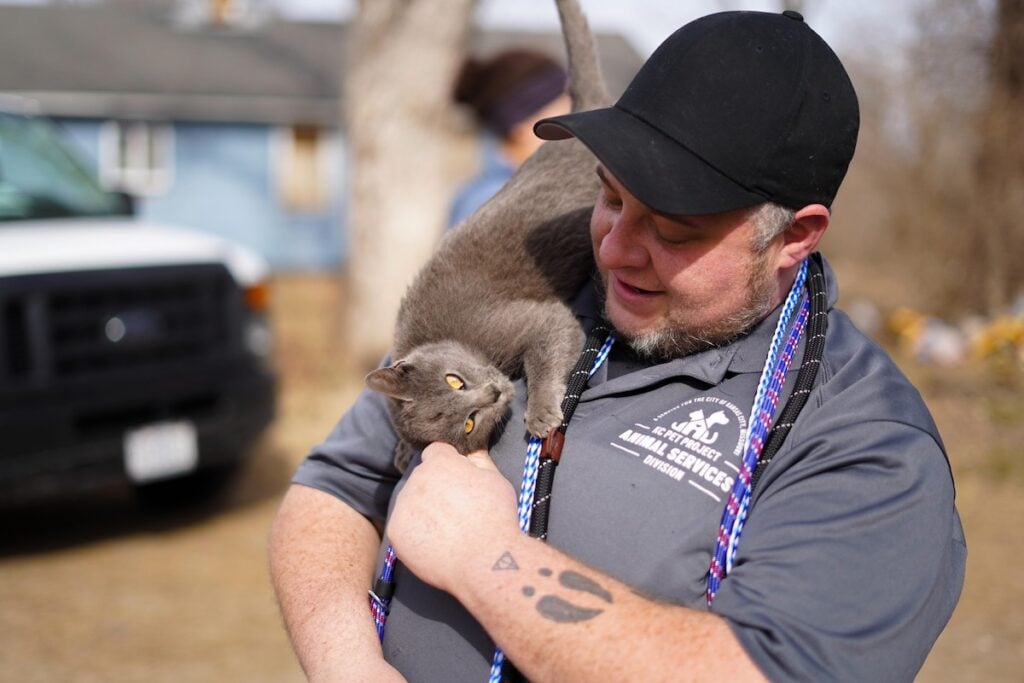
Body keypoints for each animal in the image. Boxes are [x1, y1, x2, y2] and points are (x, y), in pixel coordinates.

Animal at [366, 0, 606, 473]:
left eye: (454, 380)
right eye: (470, 422)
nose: (495, 392)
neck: (455, 339)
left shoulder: (540, 318)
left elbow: (549, 351)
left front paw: (541, 414)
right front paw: (403, 451)